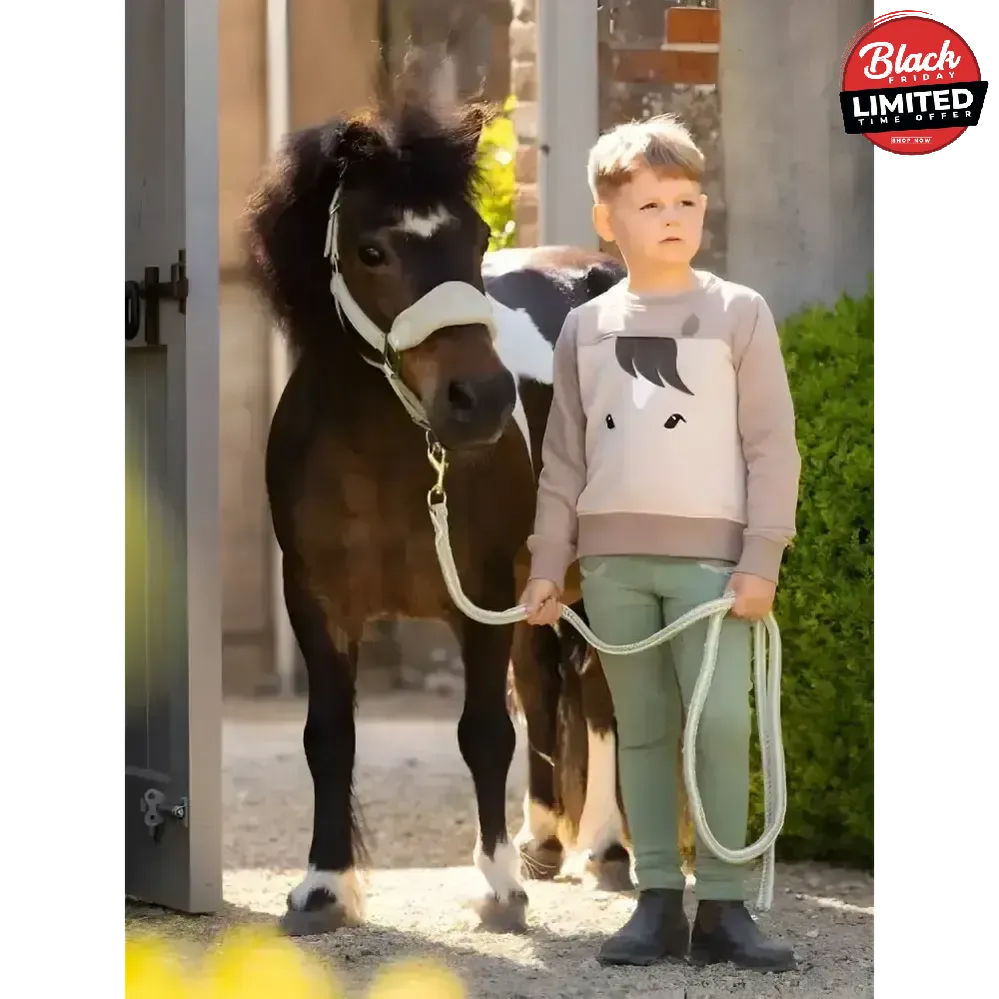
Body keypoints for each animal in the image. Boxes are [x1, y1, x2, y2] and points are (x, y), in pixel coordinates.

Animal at [243, 86, 633, 937]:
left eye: (476, 236)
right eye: (371, 251)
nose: (480, 399)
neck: (381, 457)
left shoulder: (478, 593)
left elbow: (483, 732)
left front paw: (497, 890)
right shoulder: (314, 601)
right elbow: (328, 736)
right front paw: (323, 886)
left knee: (602, 694)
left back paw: (605, 846)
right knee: (547, 683)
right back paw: (544, 841)